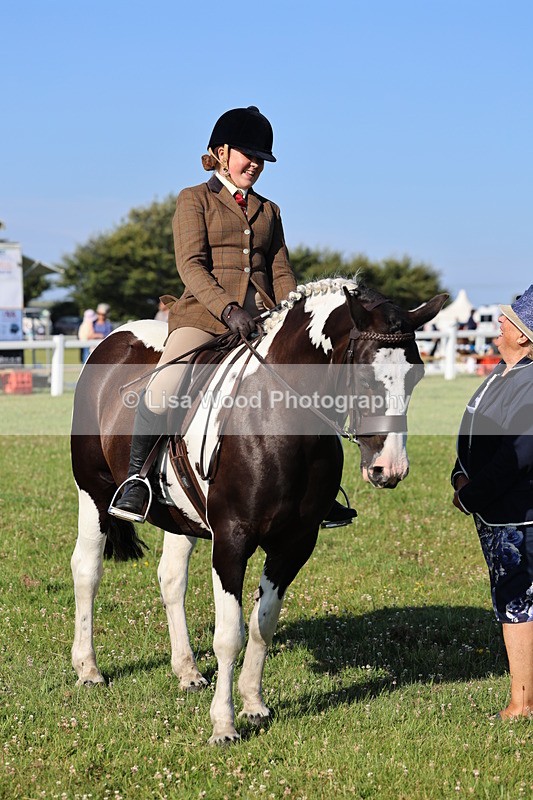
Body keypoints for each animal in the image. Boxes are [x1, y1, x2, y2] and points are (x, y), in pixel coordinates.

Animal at [70, 277, 446, 744]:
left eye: (417, 375)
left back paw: (187, 671)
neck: (276, 416)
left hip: (181, 516)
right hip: (93, 492)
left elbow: (262, 624)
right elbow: (229, 634)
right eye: (364, 374)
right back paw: (88, 669)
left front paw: (253, 704)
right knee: (87, 570)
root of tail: (117, 336)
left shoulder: (295, 543)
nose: (389, 469)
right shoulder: (232, 540)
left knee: (171, 579)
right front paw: (224, 725)